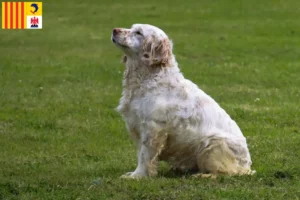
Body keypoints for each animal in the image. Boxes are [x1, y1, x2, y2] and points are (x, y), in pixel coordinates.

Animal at [111, 23, 254, 178]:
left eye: (138, 32)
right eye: (132, 28)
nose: (114, 30)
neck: (148, 78)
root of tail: (247, 165)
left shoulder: (153, 127)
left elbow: (145, 155)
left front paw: (138, 175)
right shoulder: (136, 124)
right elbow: (140, 154)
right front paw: (134, 173)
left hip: (212, 143)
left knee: (223, 172)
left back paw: (200, 175)